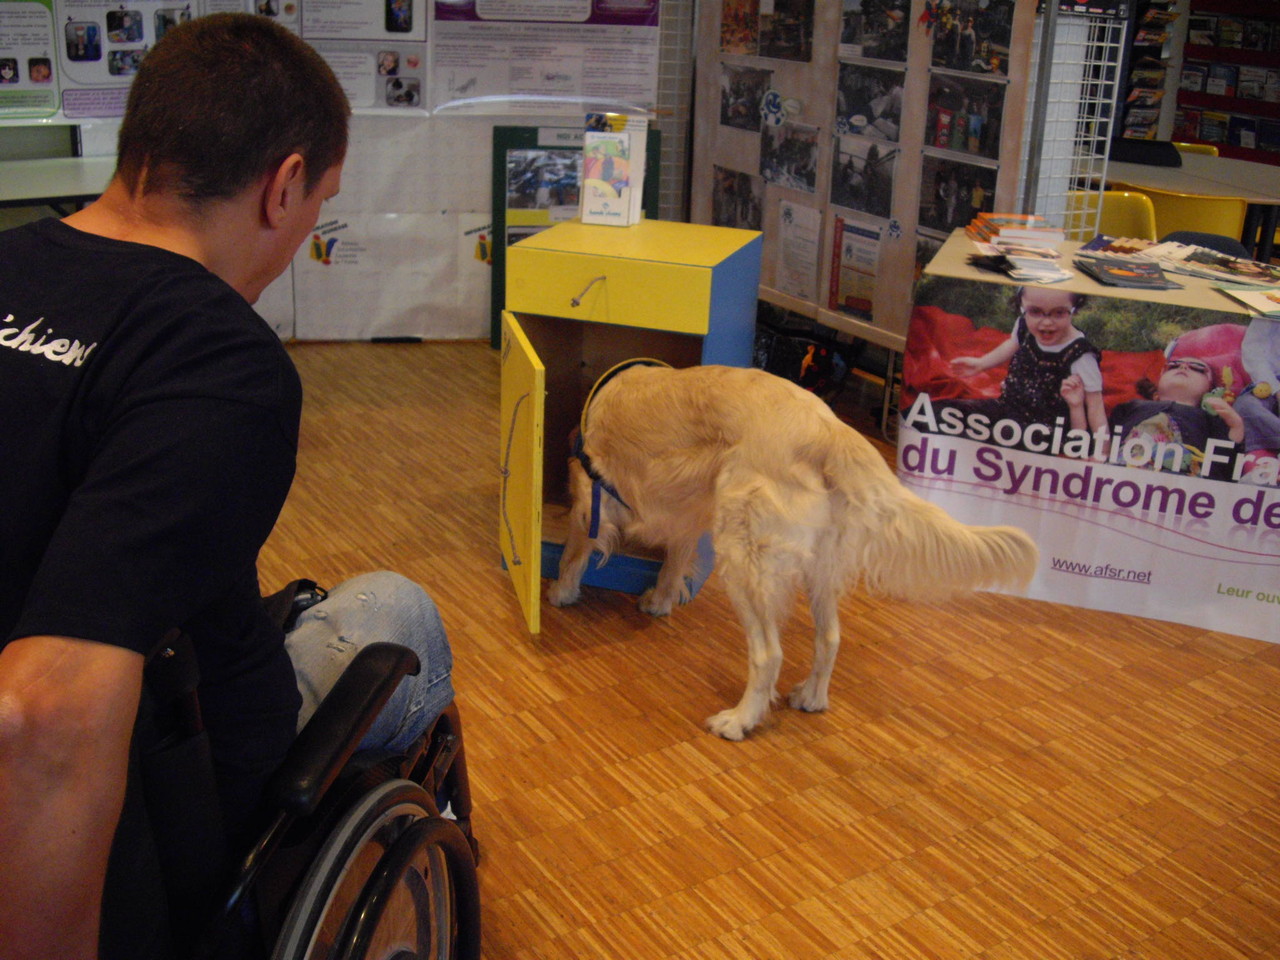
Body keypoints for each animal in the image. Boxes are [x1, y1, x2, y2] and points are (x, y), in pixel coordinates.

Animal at [545, 363, 1034, 742]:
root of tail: (829, 430)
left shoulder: (590, 499)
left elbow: (574, 553)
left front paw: (561, 593)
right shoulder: (688, 515)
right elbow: (674, 562)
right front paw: (660, 601)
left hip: (743, 558)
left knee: (768, 655)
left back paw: (738, 721)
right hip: (819, 568)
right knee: (830, 638)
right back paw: (811, 697)